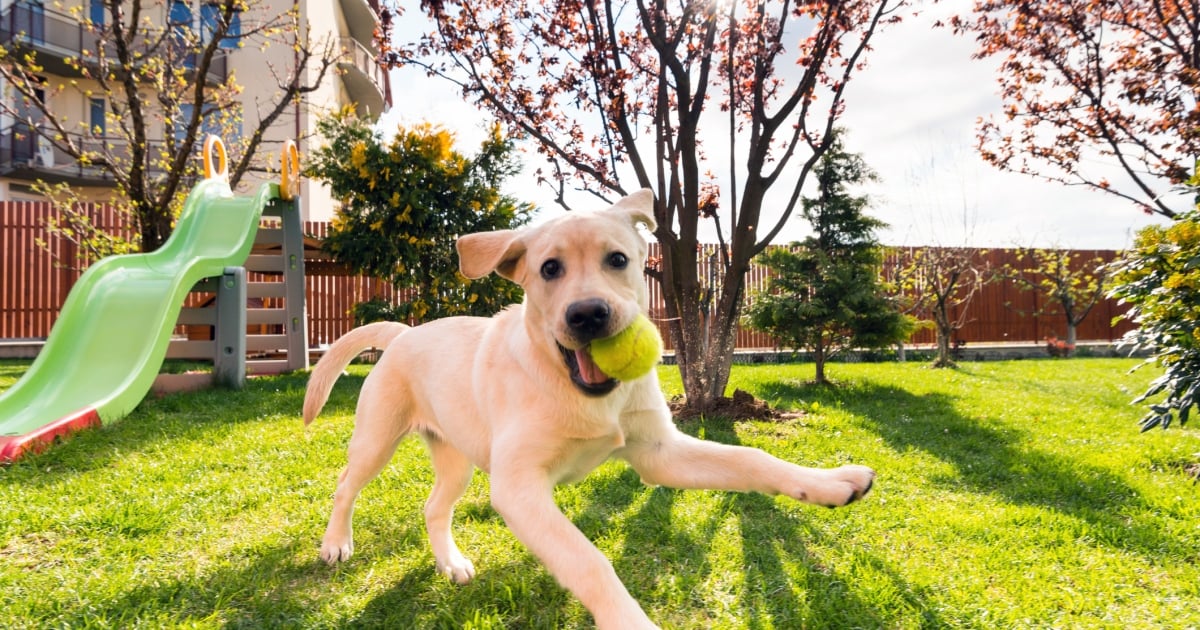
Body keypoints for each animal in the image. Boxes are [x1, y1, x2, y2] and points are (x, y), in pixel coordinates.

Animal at [304, 189, 878, 624]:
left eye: (618, 260)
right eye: (549, 269)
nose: (588, 315)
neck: (575, 389)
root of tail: (403, 333)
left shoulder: (658, 453)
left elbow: (750, 459)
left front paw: (831, 483)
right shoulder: (519, 487)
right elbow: (590, 561)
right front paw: (630, 622)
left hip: (456, 458)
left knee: (433, 506)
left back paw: (451, 563)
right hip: (377, 439)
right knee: (345, 485)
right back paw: (336, 544)